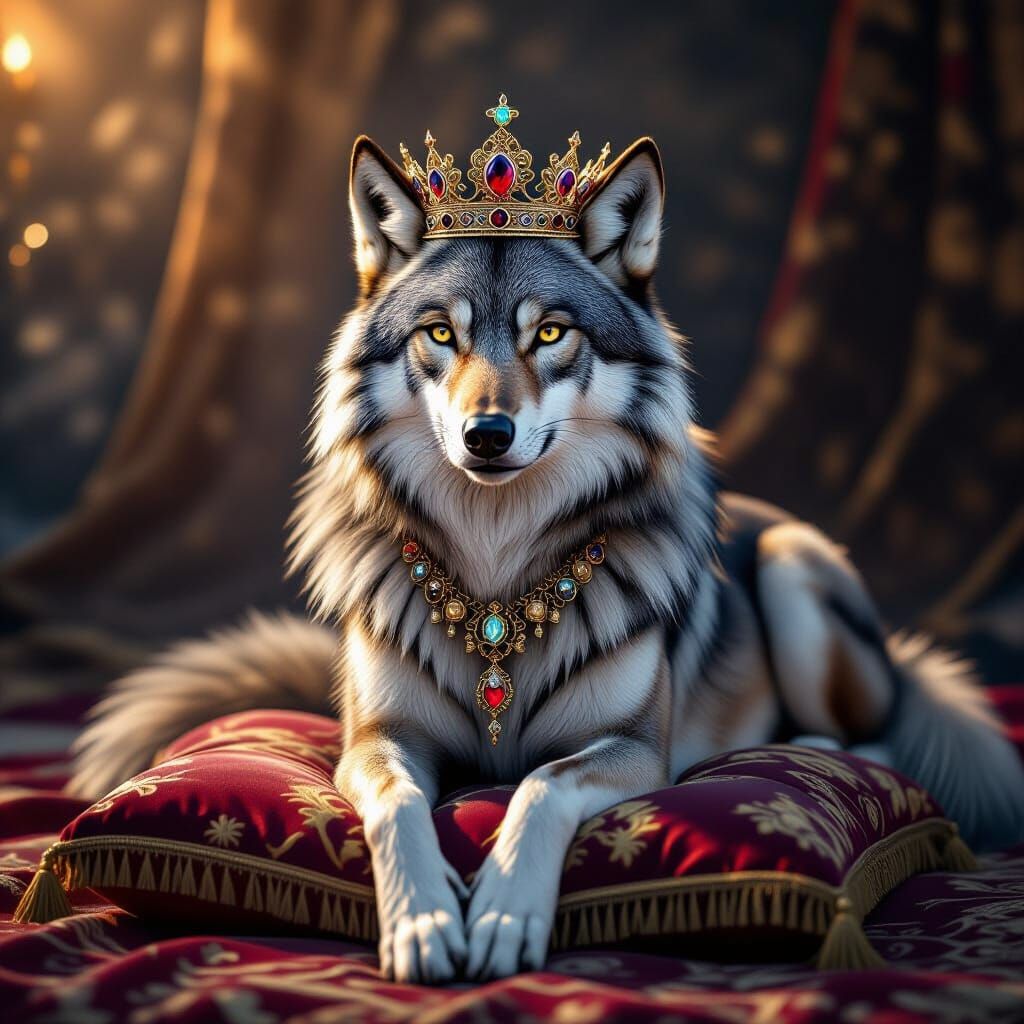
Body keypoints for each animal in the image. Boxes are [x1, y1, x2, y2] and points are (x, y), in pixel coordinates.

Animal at [70, 133, 1024, 985]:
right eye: (440, 335)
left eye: (552, 333)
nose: (486, 434)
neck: (497, 575)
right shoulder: (377, 740)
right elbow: (403, 805)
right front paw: (423, 922)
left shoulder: (630, 750)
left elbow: (539, 788)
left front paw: (498, 916)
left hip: (793, 567)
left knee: (876, 737)